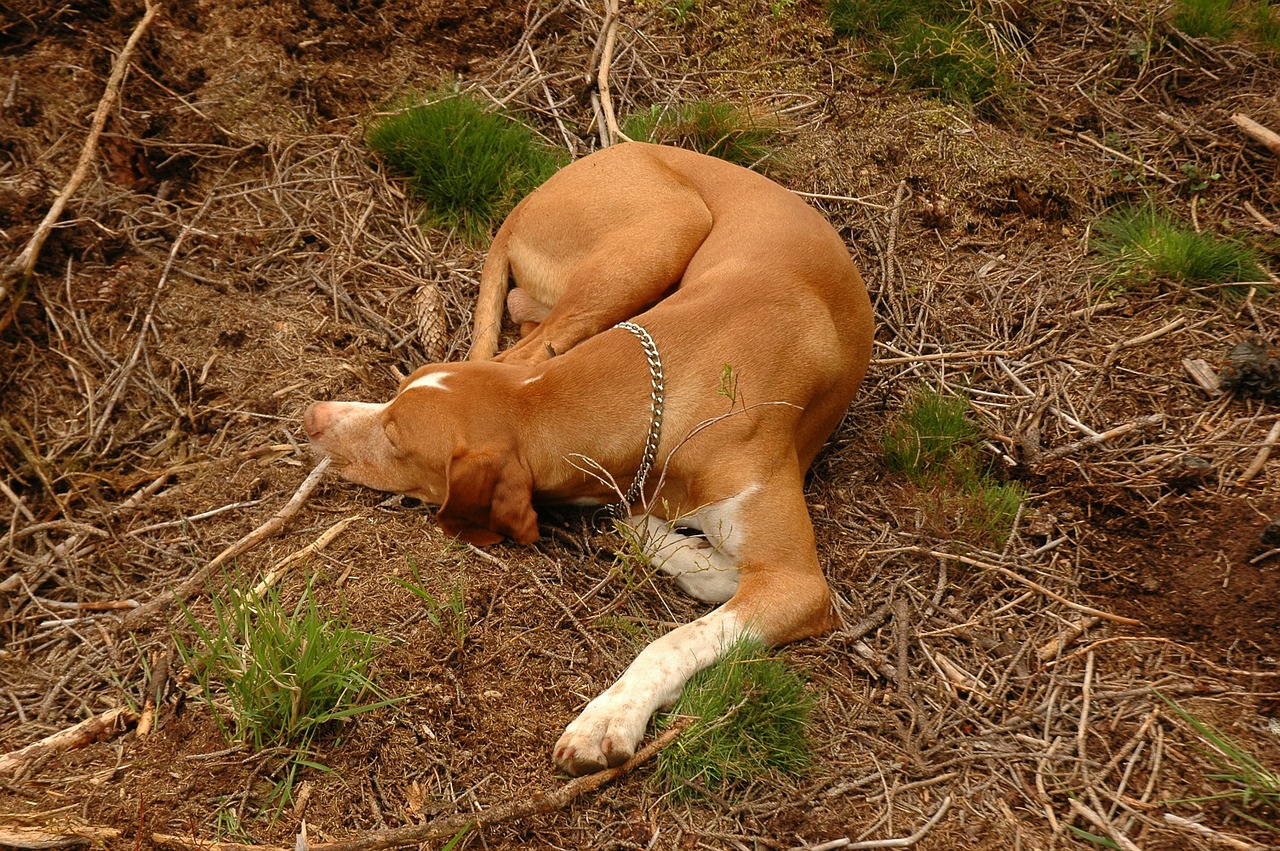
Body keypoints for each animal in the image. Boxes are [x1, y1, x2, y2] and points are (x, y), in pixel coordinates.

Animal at [304, 142, 875, 772]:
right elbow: (648, 532)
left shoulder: (799, 584)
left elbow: (675, 638)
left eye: (394, 437)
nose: (313, 417)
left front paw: (610, 714)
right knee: (525, 344)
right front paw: (688, 554)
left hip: (666, 227)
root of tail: (543, 187)